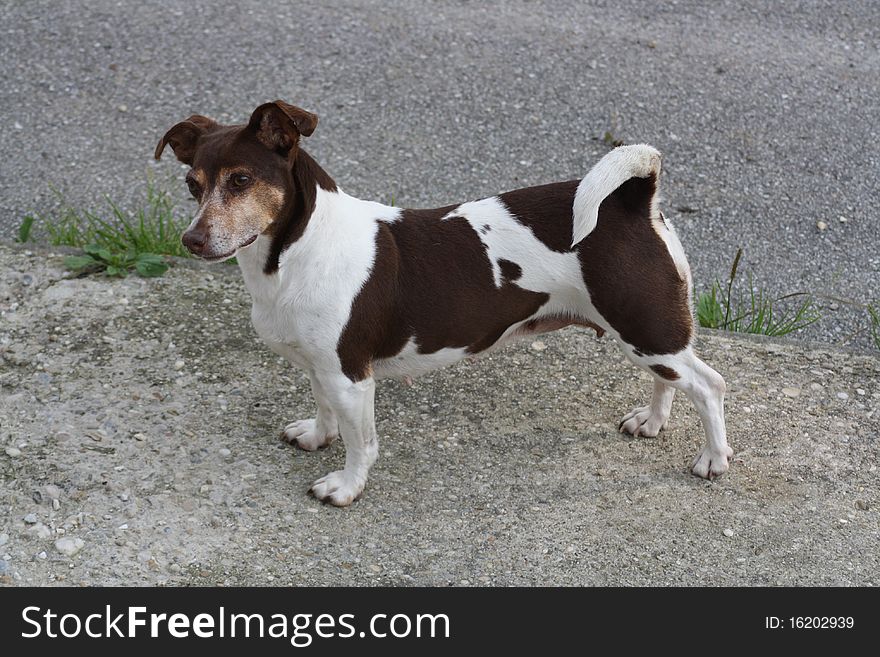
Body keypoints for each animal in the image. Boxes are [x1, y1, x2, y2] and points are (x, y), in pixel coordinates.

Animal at [155, 100, 732, 504]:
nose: (192, 240)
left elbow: (360, 441)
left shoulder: (349, 375)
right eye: (191, 183)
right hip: (647, 333)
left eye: (242, 180)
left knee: (708, 385)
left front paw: (346, 487)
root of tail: (636, 200)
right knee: (669, 378)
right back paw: (652, 422)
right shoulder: (320, 366)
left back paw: (713, 459)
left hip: (644, 328)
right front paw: (317, 435)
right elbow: (323, 410)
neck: (297, 250)